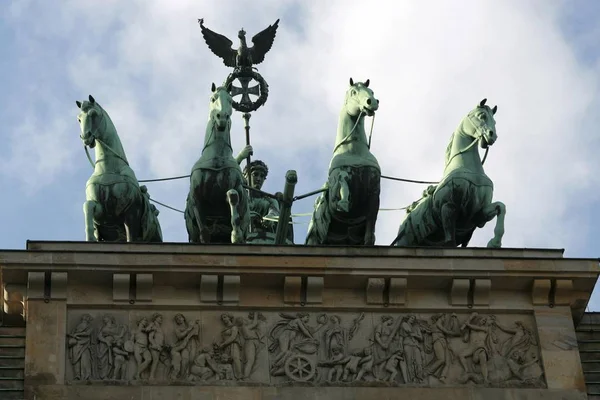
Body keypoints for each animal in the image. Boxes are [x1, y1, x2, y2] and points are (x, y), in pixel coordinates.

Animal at [76, 95, 163, 242]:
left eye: (94, 114)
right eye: (79, 118)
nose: (86, 137)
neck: (108, 168)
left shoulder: (131, 214)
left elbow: (131, 238)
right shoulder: (103, 213)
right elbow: (87, 206)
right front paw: (91, 236)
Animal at [183, 83, 248, 242]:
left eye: (231, 101)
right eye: (213, 99)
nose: (222, 117)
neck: (216, 158)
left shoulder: (236, 186)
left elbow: (233, 195)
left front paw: (235, 235)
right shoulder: (196, 197)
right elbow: (204, 232)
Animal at [308, 78, 382, 245]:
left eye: (372, 91)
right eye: (353, 92)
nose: (372, 102)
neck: (353, 151)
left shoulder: (375, 189)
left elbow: (371, 226)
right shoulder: (338, 180)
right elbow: (342, 185)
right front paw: (344, 203)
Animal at [392, 99, 504, 248]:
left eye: (495, 122)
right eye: (481, 116)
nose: (492, 136)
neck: (465, 167)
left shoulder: (477, 214)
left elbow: (501, 207)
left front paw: (495, 242)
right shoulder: (448, 206)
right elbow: (450, 241)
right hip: (405, 241)